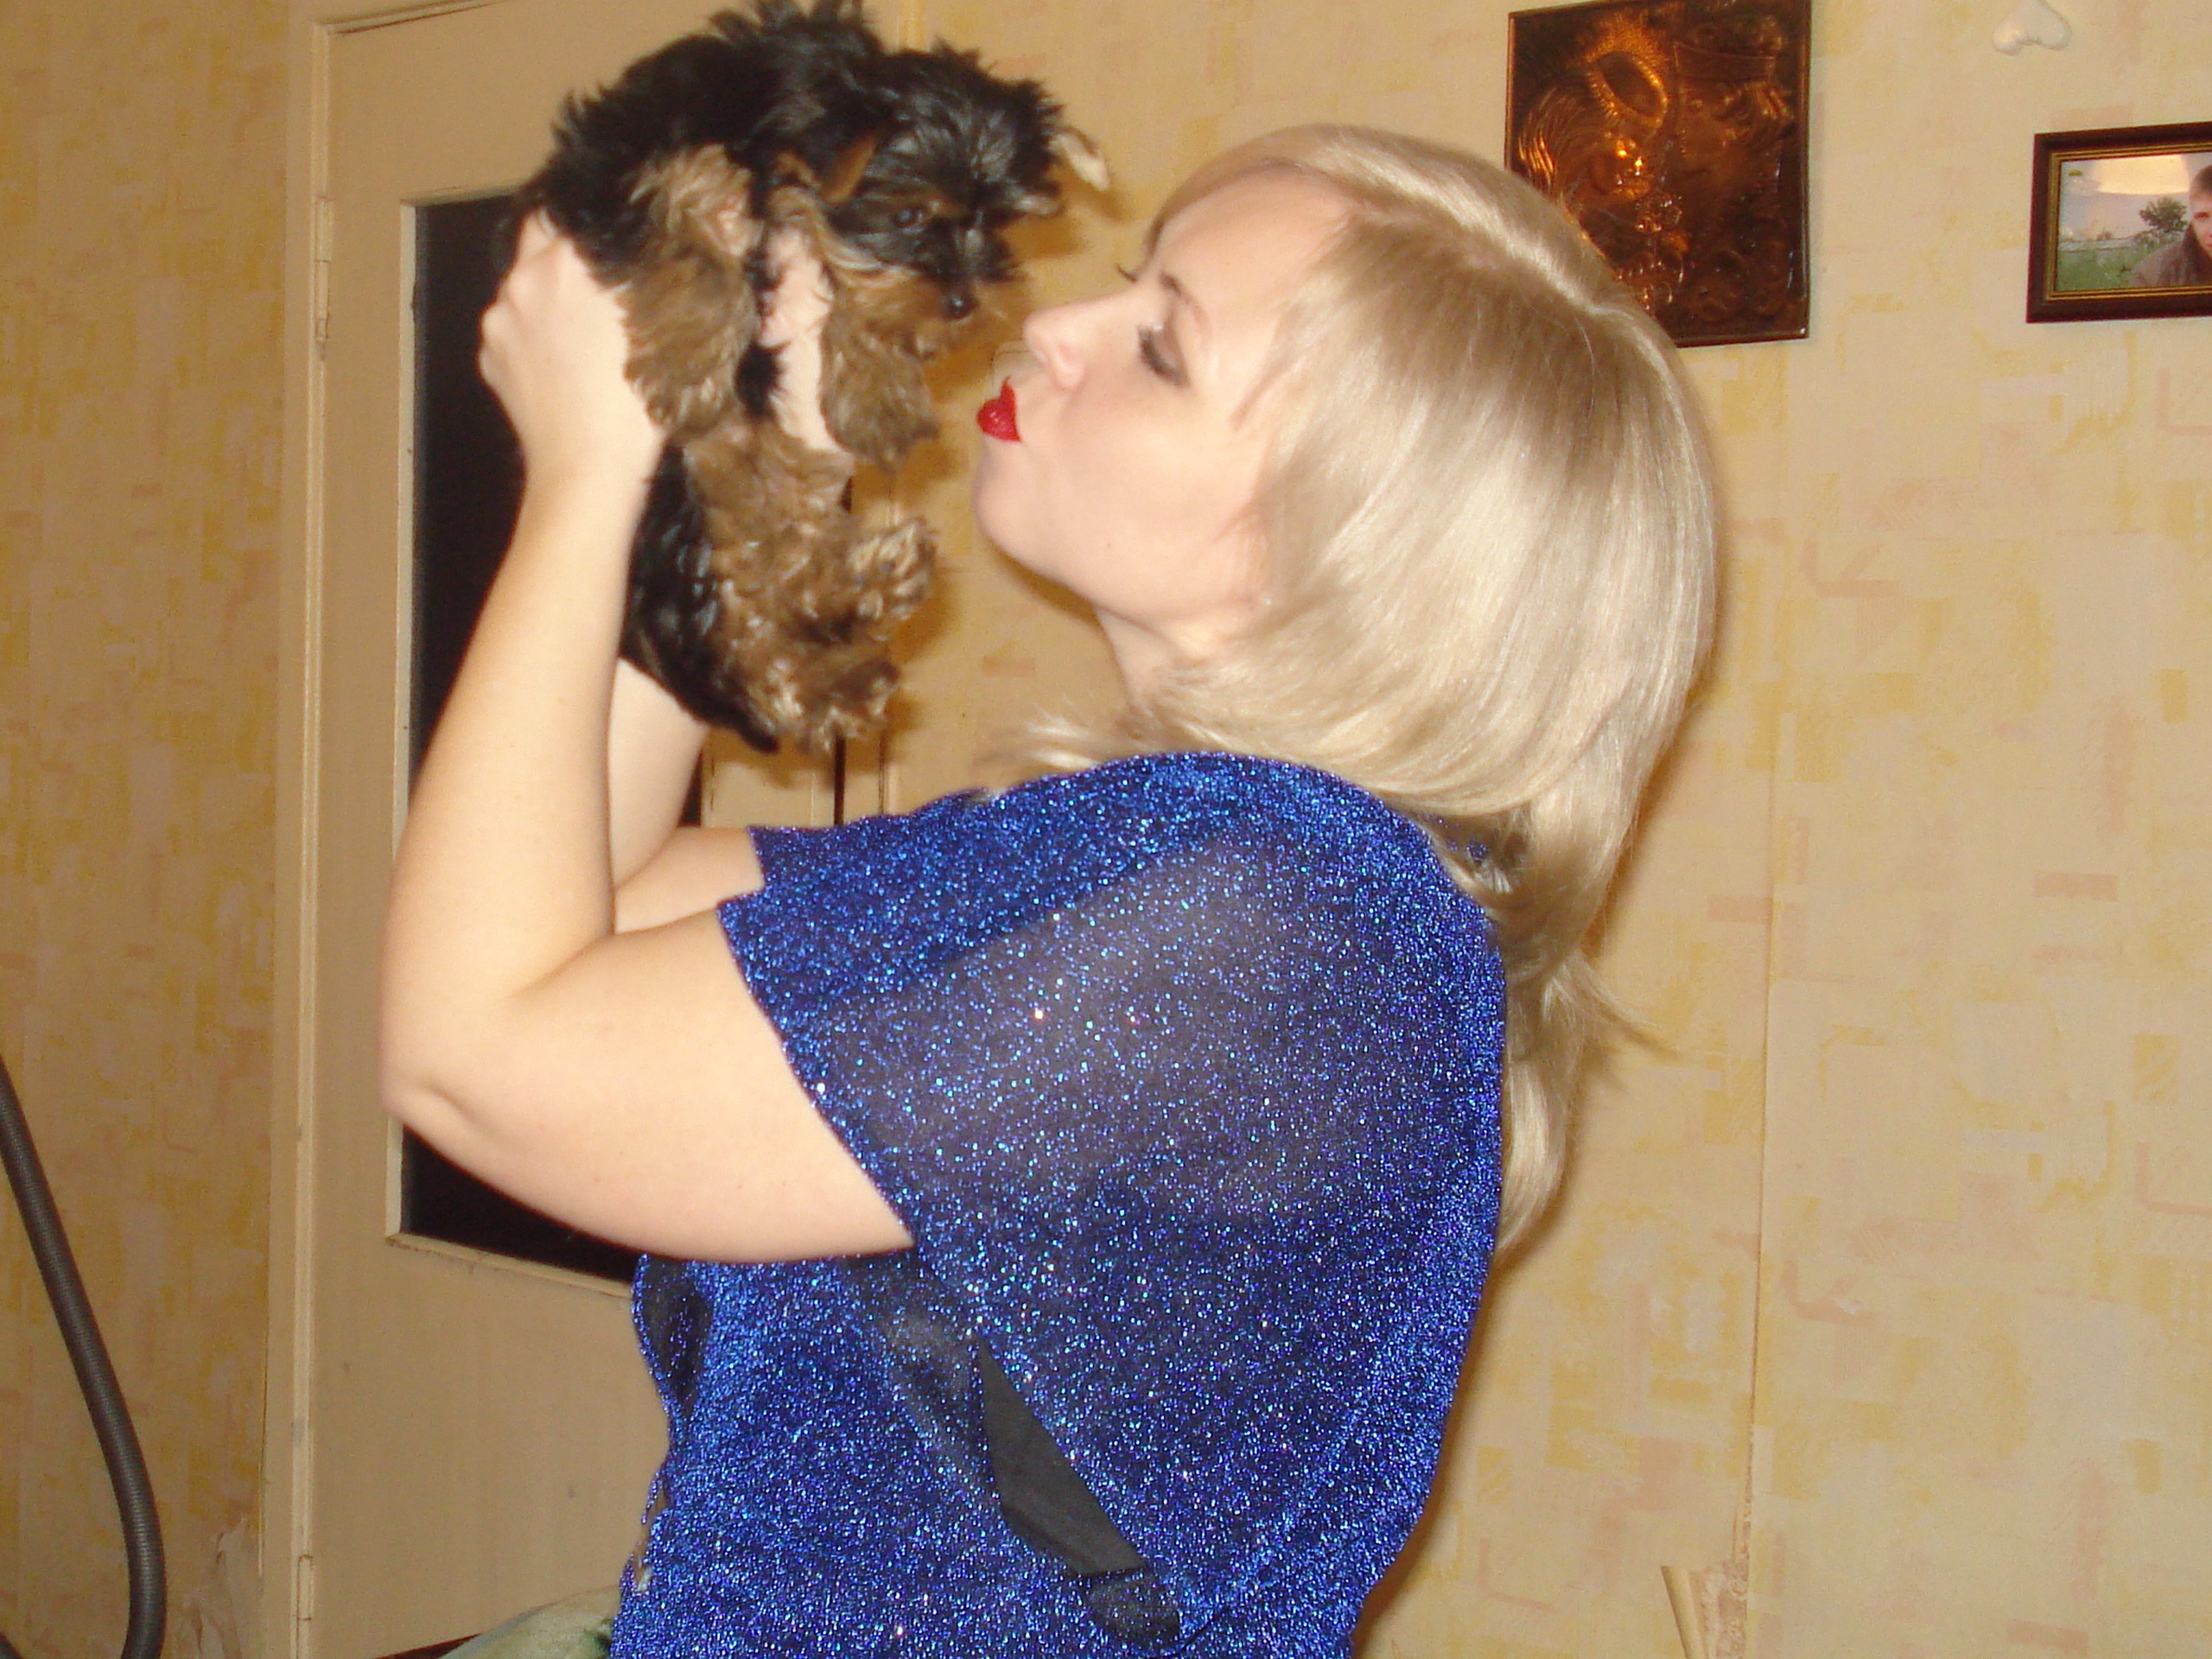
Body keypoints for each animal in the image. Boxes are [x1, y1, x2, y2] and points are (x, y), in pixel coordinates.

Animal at [516, 0, 1105, 751]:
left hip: (750, 473)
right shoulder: (617, 161)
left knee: (772, 574)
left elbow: (856, 294)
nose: (964, 302)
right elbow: (682, 220)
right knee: (741, 609)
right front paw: (689, 362)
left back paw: (865, 608)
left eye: (996, 223)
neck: (786, 102)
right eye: (909, 213)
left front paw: (878, 391)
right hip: (675, 507)